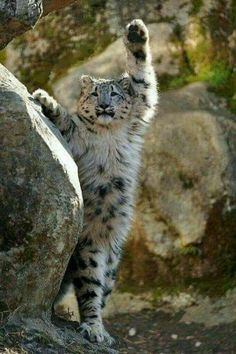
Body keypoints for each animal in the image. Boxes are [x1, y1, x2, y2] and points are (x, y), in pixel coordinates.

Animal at [32, 20, 159, 346]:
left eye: (114, 93)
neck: (106, 133)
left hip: (111, 257)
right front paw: (43, 99)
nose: (102, 105)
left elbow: (142, 79)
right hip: (88, 245)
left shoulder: (140, 109)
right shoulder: (75, 138)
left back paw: (98, 328)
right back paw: (91, 327)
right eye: (93, 95)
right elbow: (67, 121)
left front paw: (136, 34)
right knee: (89, 285)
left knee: (101, 288)